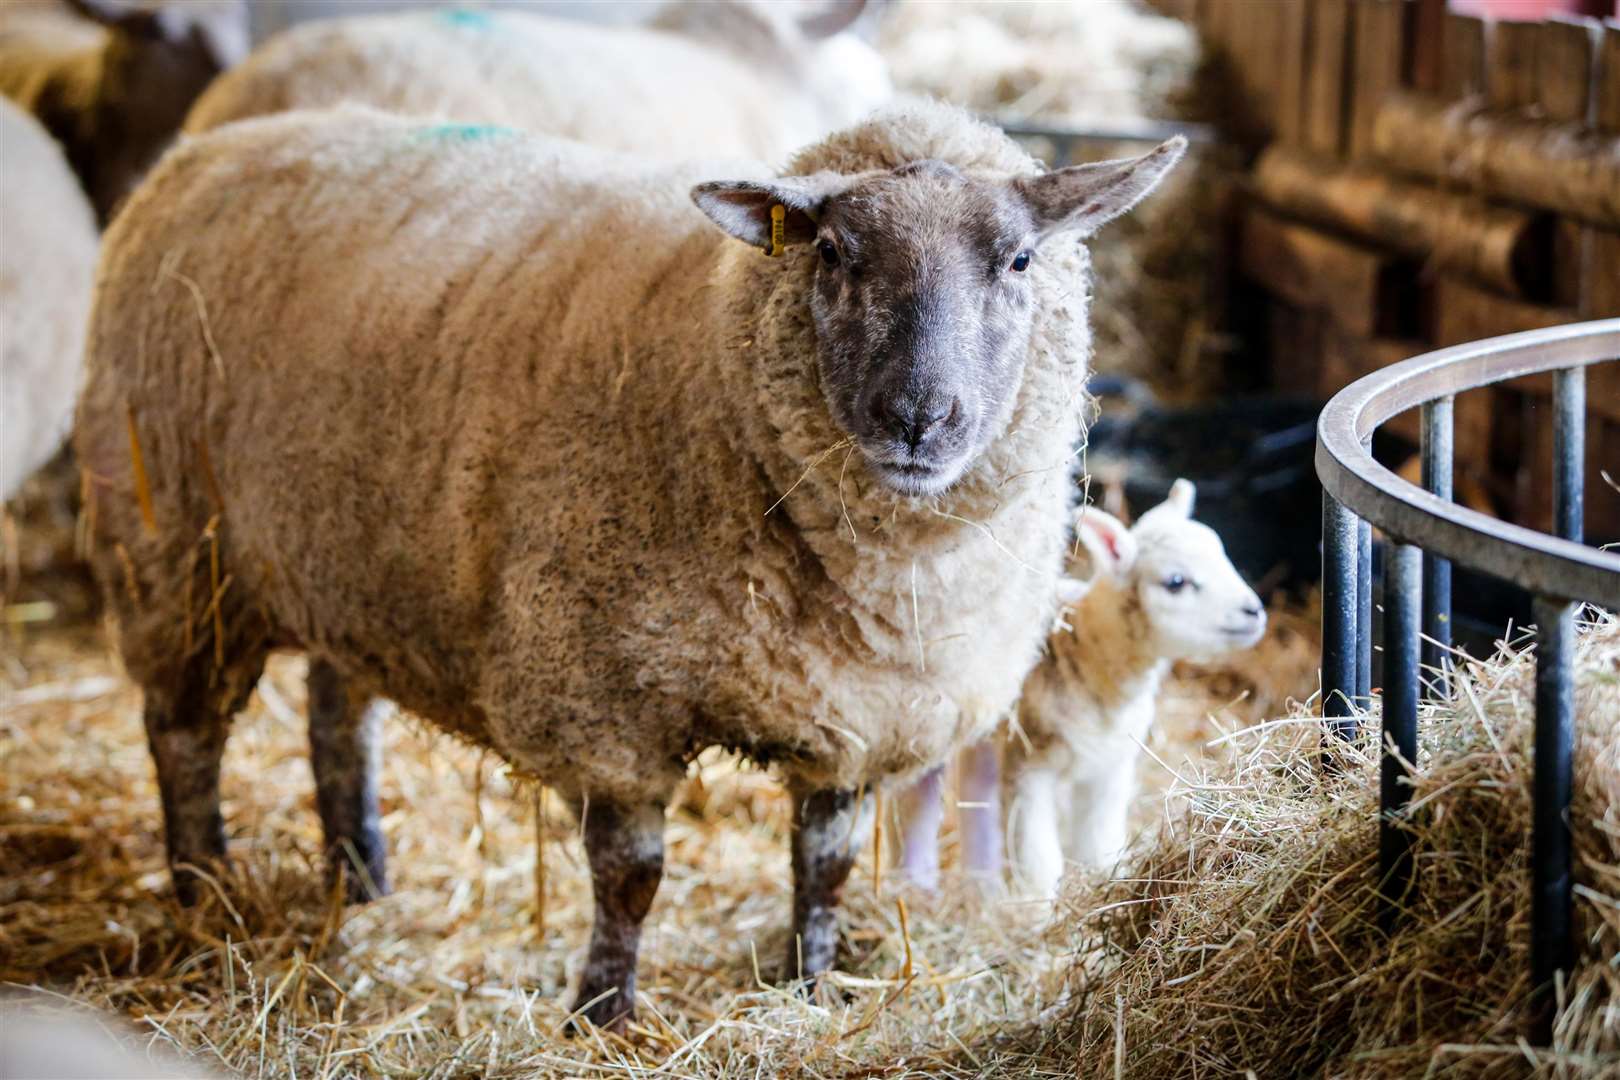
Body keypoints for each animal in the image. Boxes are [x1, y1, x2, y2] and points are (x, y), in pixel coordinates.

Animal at [76, 97, 1185, 1029]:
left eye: (1020, 262)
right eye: (831, 251)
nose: (919, 417)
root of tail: (206, 147)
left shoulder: (856, 711)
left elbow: (822, 867)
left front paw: (813, 985)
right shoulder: (603, 698)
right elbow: (632, 878)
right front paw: (601, 1014)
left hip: (345, 558)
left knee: (337, 718)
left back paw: (360, 878)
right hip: (174, 552)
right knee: (183, 734)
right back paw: (203, 892)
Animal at [900, 479, 1263, 893]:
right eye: (1176, 582)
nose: (1254, 610)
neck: (1090, 658)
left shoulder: (1111, 765)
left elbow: (1098, 844)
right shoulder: (1030, 764)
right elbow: (1039, 862)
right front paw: (1038, 907)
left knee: (976, 790)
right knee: (918, 804)